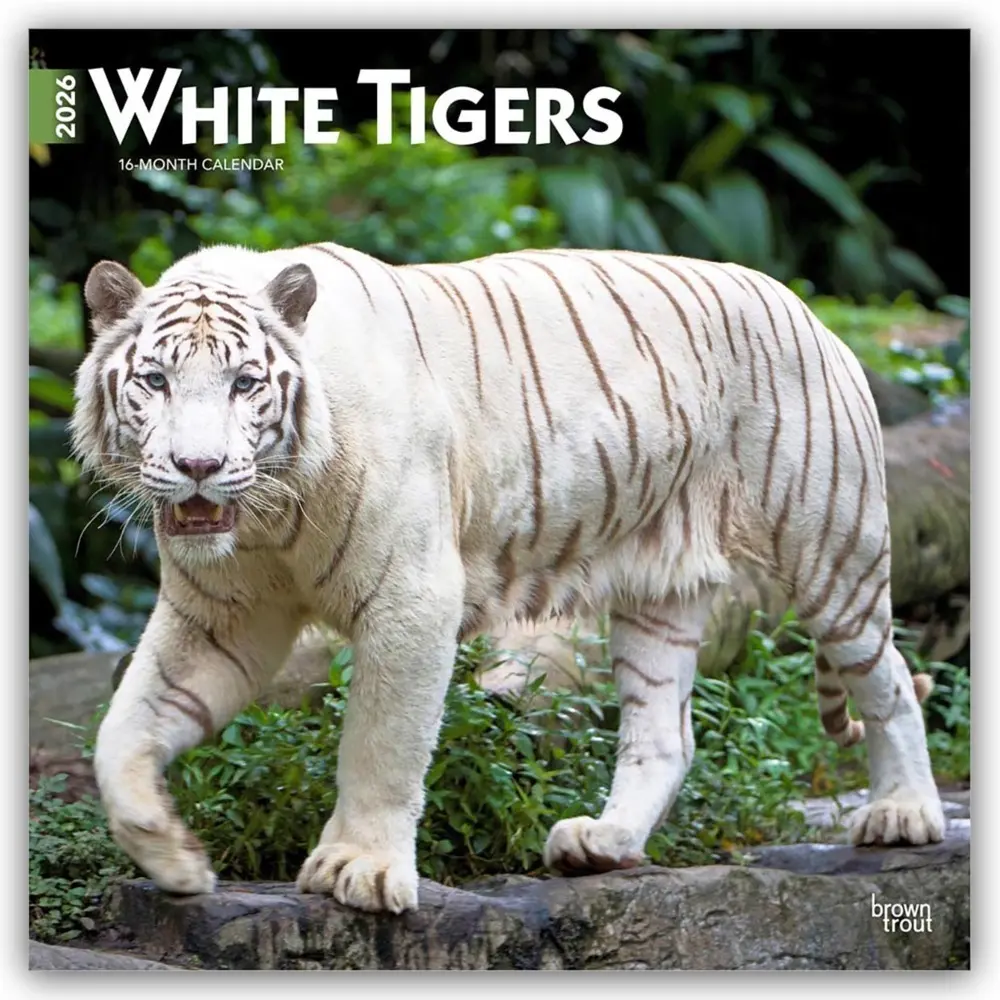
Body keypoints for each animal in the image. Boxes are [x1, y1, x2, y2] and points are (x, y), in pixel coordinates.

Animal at [71, 241, 946, 914]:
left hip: (831, 544)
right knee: (665, 734)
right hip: (657, 591)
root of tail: (807, 307)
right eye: (154, 380)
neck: (269, 516)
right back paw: (604, 843)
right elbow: (122, 732)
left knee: (890, 679)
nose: (197, 467)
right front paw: (174, 858)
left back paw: (905, 815)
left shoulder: (413, 598)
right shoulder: (221, 617)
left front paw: (360, 869)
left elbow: (381, 744)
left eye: (245, 384)